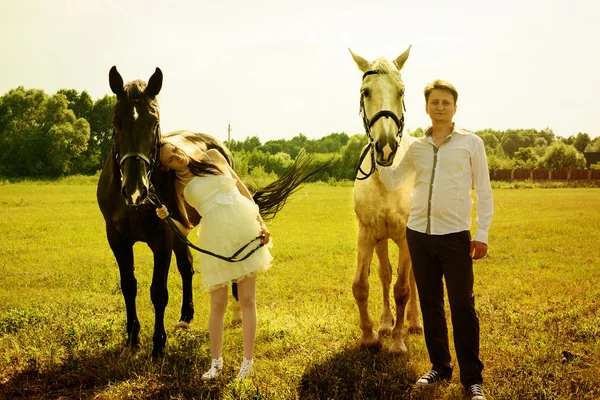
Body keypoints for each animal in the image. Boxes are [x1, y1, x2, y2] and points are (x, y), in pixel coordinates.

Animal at [98, 67, 324, 358]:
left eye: (154, 123)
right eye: (116, 122)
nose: (136, 190)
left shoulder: (162, 238)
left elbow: (158, 291)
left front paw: (158, 346)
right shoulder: (117, 238)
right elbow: (129, 286)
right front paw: (132, 341)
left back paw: (237, 311)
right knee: (186, 266)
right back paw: (185, 317)